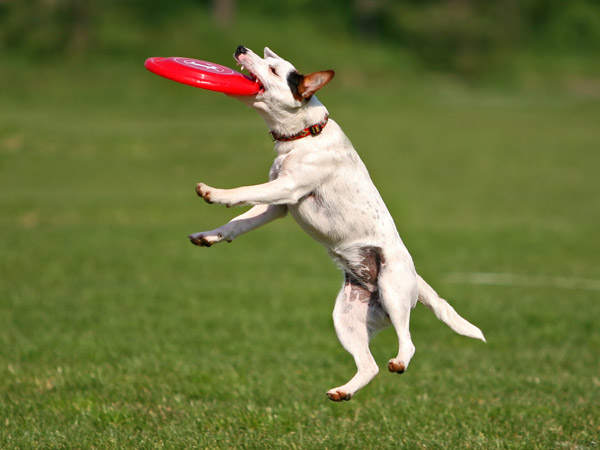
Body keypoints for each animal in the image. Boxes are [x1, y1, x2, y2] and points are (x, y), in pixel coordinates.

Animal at [190, 47, 486, 402]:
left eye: (273, 69)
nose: (241, 49)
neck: (304, 134)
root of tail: (415, 277)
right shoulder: (278, 206)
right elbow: (237, 223)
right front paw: (208, 236)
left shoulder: (288, 188)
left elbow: (243, 192)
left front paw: (214, 192)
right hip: (347, 317)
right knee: (369, 366)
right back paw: (343, 391)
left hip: (393, 290)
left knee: (408, 343)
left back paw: (399, 362)